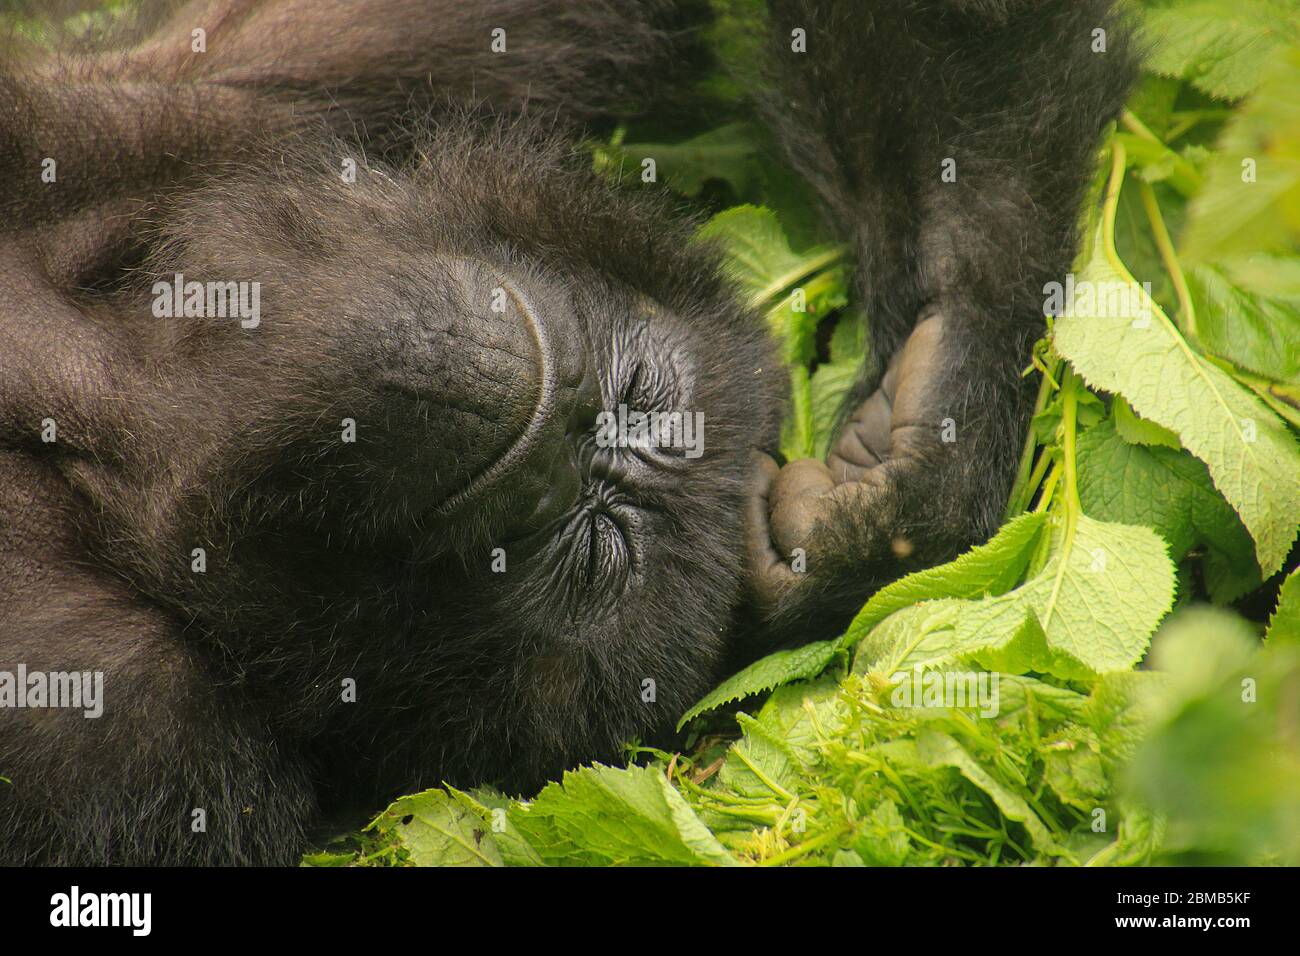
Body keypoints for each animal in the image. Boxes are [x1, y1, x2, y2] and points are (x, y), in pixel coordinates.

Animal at [0, 0, 1133, 868]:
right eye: (639, 393)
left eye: (588, 548)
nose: (561, 443)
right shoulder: (282, 91)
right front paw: (943, 390)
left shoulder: (151, 746)